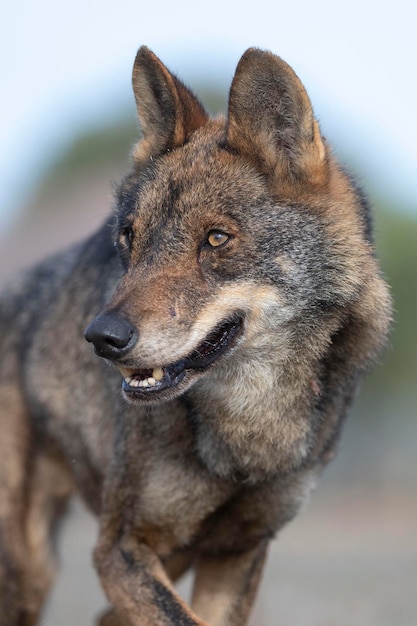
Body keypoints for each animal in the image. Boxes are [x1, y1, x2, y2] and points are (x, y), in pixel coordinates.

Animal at [0, 46, 390, 620]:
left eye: (216, 238)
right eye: (129, 236)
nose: (100, 338)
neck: (248, 434)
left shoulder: (237, 551)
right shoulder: (119, 549)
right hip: (30, 573)